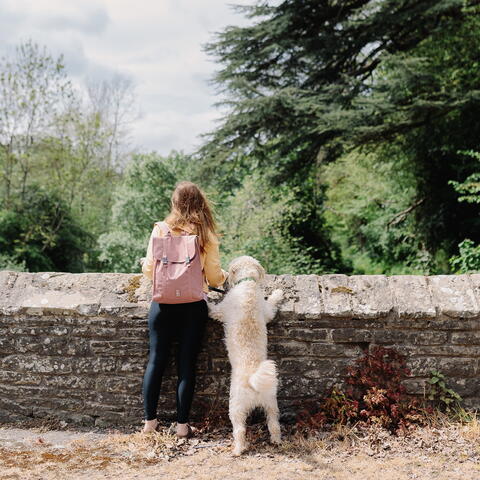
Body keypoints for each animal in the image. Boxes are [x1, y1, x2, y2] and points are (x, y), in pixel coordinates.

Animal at [207, 255, 284, 454]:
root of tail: (253, 380)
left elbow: (211, 309)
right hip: (271, 403)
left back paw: (238, 449)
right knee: (274, 424)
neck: (248, 284)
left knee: (240, 429)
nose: (225, 280)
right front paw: (278, 293)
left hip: (236, 406)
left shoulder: (220, 310)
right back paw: (276, 441)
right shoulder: (267, 310)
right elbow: (272, 305)